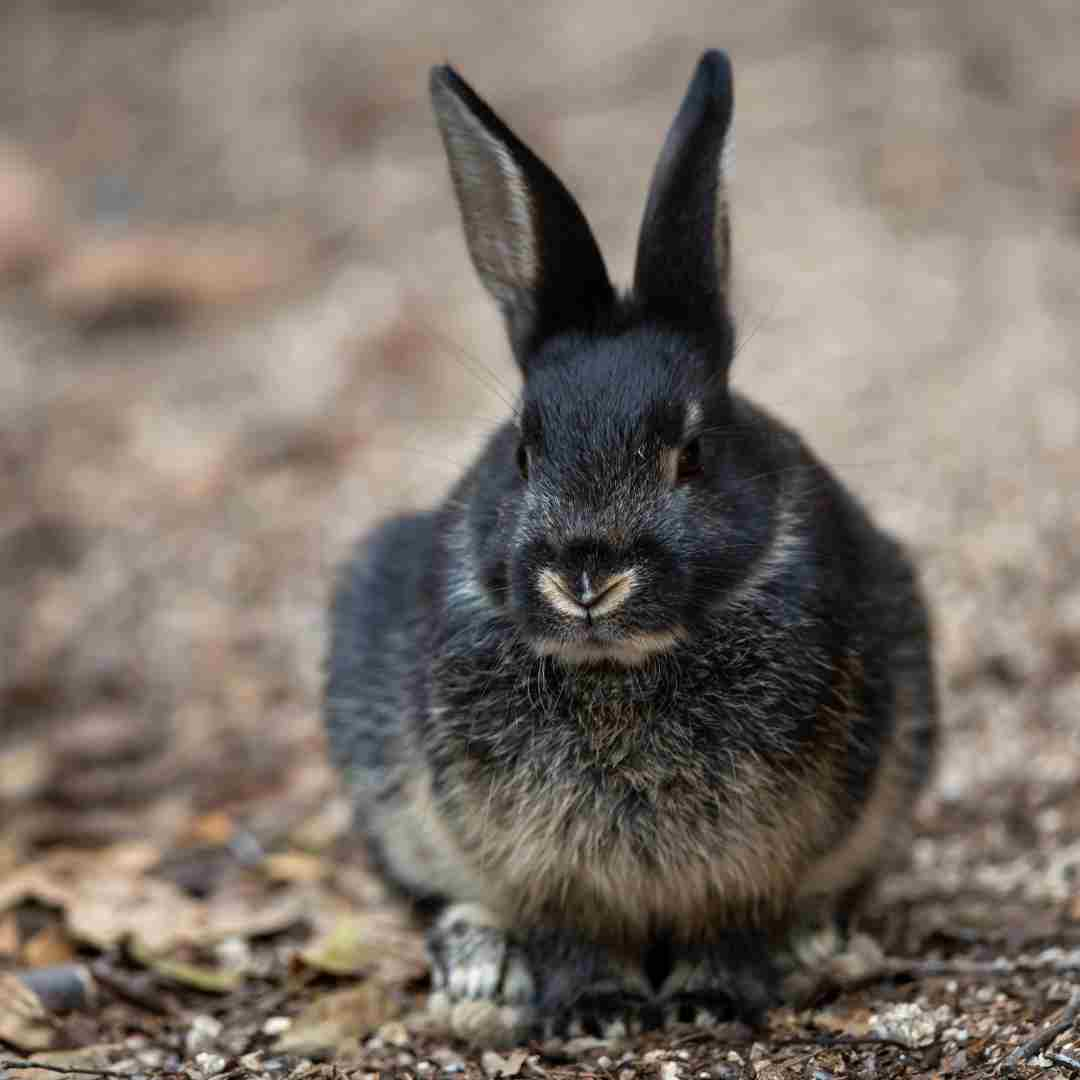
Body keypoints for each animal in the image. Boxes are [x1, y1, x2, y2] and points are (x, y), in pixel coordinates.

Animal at [321, 50, 937, 1045]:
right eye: (524, 448)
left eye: (692, 451)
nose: (588, 576)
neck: (620, 667)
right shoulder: (540, 866)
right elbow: (571, 933)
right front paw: (596, 1012)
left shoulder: (760, 856)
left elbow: (733, 926)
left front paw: (707, 1002)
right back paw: (478, 971)